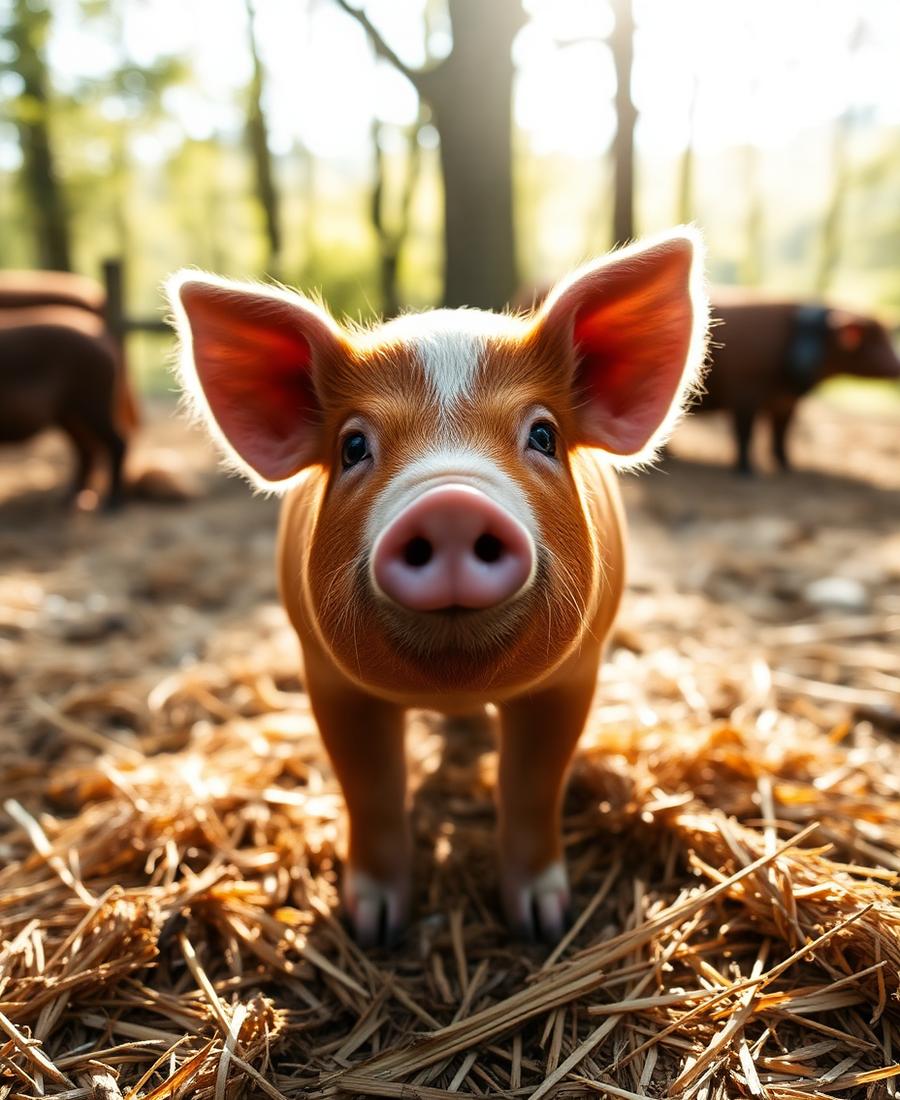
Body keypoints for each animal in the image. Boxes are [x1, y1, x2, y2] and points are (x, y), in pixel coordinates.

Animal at [0, 305, 135, 508]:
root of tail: (107, 343)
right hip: (69, 413)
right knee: (87, 449)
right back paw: (69, 498)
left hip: (95, 403)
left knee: (117, 442)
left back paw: (111, 505)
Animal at [167, 230, 708, 945]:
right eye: (353, 446)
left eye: (544, 434)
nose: (451, 502)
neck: (455, 683)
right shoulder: (328, 676)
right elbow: (370, 789)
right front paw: (373, 926)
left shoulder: (574, 674)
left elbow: (532, 785)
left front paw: (543, 922)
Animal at [701, 296, 900, 474]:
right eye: (875, 339)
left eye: (885, 336)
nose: (897, 366)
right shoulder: (744, 394)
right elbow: (745, 433)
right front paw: (747, 471)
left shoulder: (787, 402)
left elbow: (782, 432)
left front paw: (787, 466)